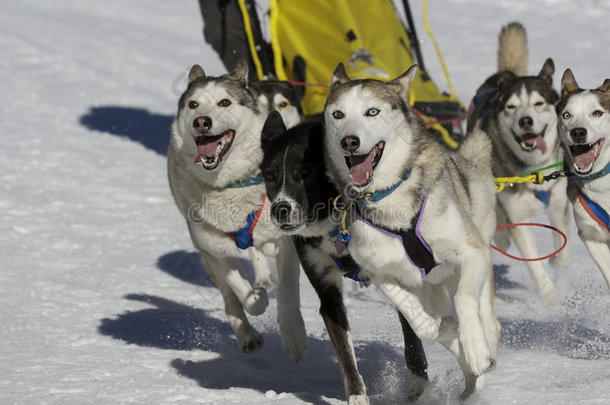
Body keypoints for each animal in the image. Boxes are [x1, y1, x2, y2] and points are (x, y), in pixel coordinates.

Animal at [166, 61, 306, 358]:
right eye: (193, 104)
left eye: (224, 102)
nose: (201, 121)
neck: (231, 184)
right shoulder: (215, 249)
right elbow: (241, 290)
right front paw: (257, 299)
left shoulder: (286, 238)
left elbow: (288, 290)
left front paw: (293, 334)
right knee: (230, 298)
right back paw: (247, 333)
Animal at [258, 109, 426, 400]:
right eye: (269, 175)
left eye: (305, 171)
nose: (281, 209)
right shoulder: (327, 290)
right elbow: (345, 353)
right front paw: (357, 397)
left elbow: (413, 337)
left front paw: (418, 388)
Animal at [324, 63, 498, 398]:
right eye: (338, 114)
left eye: (372, 111)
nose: (349, 141)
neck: (391, 203)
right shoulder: (379, 272)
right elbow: (419, 322)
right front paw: (446, 328)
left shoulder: (472, 253)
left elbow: (464, 299)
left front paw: (475, 347)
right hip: (431, 292)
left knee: (486, 316)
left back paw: (482, 355)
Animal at [466, 22, 568, 300]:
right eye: (511, 107)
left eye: (539, 103)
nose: (525, 121)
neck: (533, 170)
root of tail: (505, 74)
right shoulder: (517, 216)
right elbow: (532, 260)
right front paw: (549, 294)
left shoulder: (559, 201)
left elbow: (563, 247)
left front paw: (557, 262)